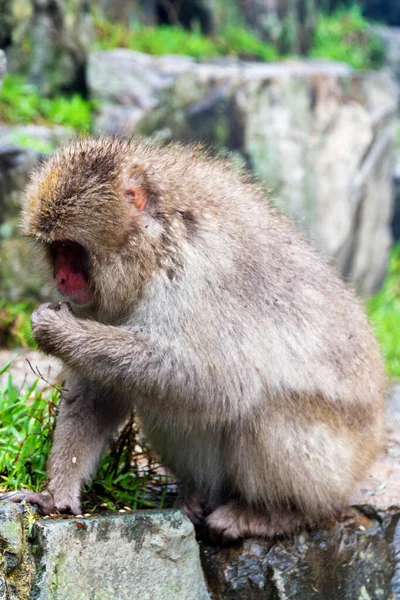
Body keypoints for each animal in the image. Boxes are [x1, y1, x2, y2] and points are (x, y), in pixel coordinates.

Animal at [1, 138, 386, 540]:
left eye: (71, 249)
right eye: (55, 249)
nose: (61, 279)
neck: (154, 241)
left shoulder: (198, 272)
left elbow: (219, 384)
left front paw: (56, 330)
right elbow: (99, 393)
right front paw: (56, 494)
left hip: (332, 470)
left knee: (261, 412)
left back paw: (280, 513)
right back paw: (198, 495)